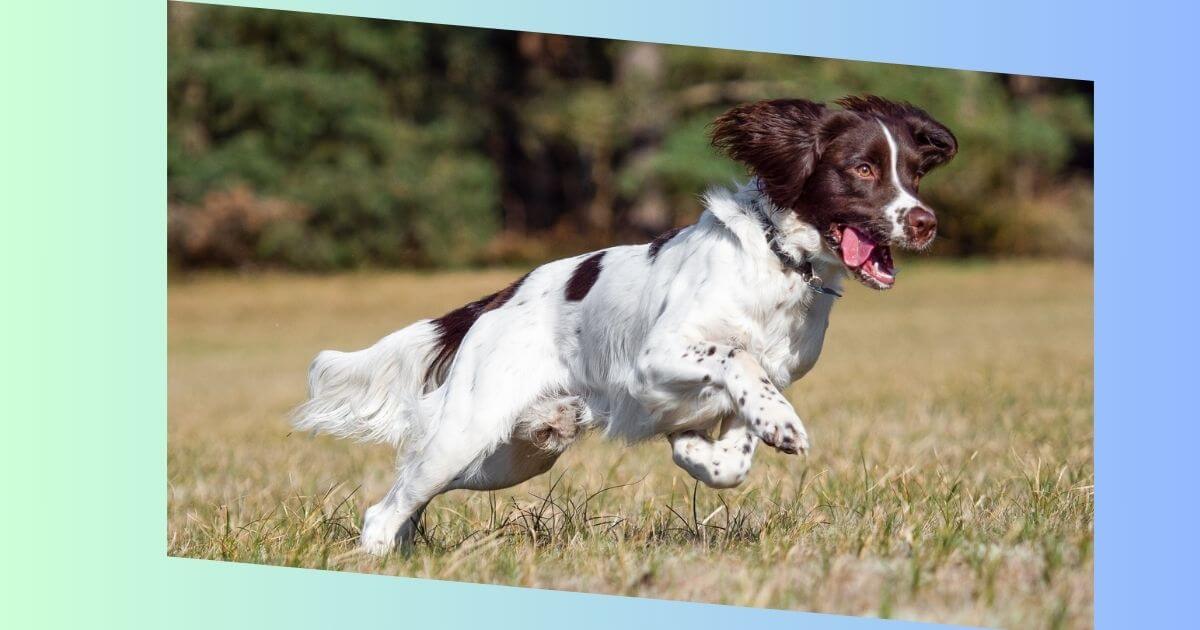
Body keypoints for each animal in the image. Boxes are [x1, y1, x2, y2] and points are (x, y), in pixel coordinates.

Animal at [295, 96, 960, 552]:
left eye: (914, 174)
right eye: (863, 169)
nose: (925, 222)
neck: (779, 265)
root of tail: (498, 300)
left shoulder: (757, 381)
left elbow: (735, 448)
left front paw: (702, 450)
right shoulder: (655, 358)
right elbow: (736, 357)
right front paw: (782, 426)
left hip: (509, 458)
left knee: (409, 493)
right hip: (467, 431)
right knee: (386, 507)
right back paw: (377, 556)